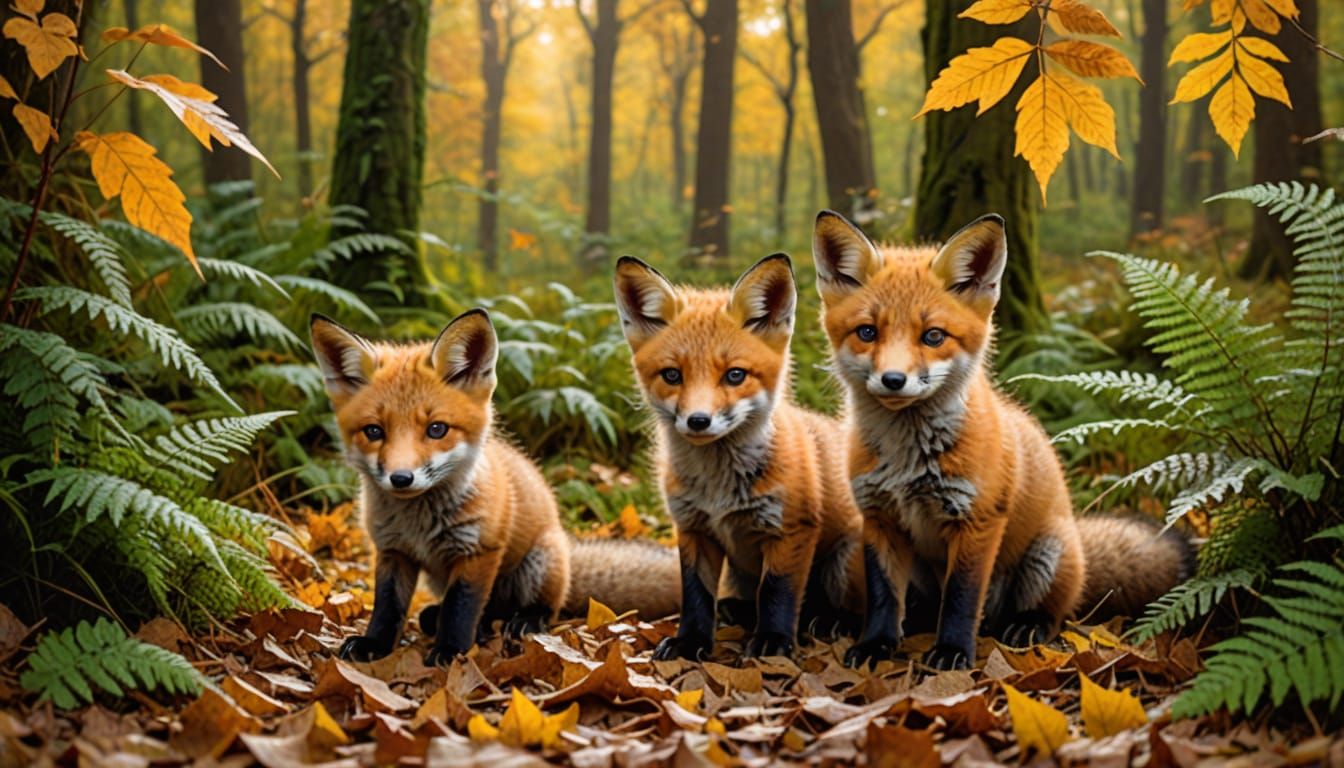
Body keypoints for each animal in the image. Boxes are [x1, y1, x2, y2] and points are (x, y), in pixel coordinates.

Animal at [310, 310, 679, 666]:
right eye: (374, 431)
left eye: (437, 429)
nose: (401, 478)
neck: (419, 525)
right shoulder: (392, 551)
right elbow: (387, 608)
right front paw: (374, 644)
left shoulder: (479, 551)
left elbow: (460, 610)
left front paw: (451, 651)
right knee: (483, 612)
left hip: (538, 563)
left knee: (538, 609)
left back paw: (522, 620)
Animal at [614, 253, 865, 661]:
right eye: (672, 375)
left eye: (735, 375)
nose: (698, 421)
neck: (719, 488)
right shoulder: (694, 529)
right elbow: (696, 597)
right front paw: (691, 642)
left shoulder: (790, 529)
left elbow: (777, 593)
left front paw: (773, 641)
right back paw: (737, 612)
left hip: (843, 563)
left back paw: (830, 621)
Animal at [809, 210, 1194, 671]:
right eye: (867, 332)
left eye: (933, 336)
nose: (893, 380)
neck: (908, 460)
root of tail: (1075, 528)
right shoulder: (878, 517)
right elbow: (884, 596)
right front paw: (876, 644)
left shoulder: (978, 520)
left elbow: (960, 599)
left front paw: (953, 651)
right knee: (919, 605)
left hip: (1046, 556)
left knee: (1055, 614)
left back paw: (1027, 625)